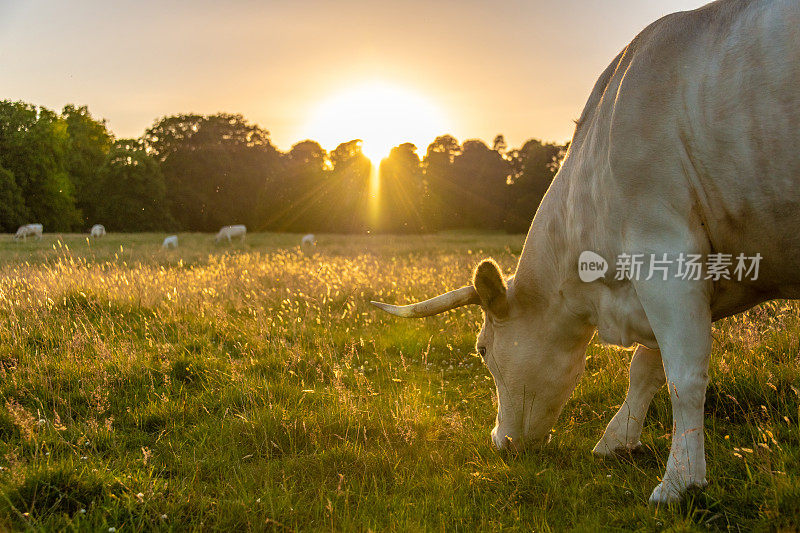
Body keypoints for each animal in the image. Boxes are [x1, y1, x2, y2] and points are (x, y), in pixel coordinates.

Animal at [372, 0, 800, 504]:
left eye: (481, 349)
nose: (499, 442)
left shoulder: (664, 250)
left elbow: (684, 374)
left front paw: (679, 481)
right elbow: (647, 368)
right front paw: (618, 440)